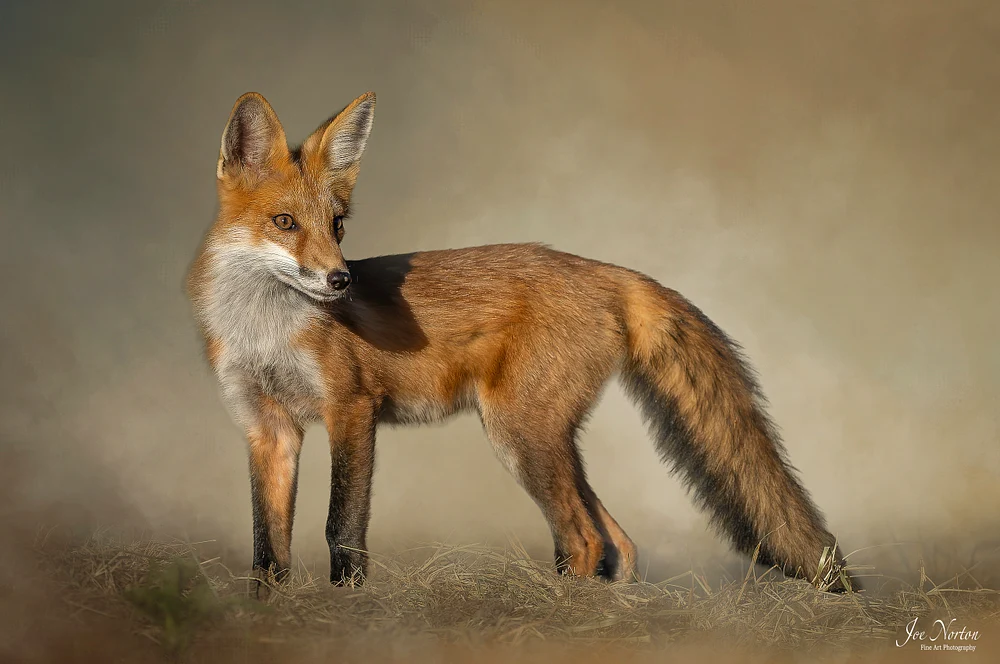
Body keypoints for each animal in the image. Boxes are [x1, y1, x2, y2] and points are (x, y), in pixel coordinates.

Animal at [187, 90, 856, 596]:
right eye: (285, 223)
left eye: (338, 226)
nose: (341, 280)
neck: (264, 333)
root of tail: (602, 268)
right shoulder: (267, 429)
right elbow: (267, 547)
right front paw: (274, 613)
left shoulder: (350, 410)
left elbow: (340, 528)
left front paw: (347, 608)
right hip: (544, 439)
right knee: (620, 543)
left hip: (517, 432)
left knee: (585, 539)